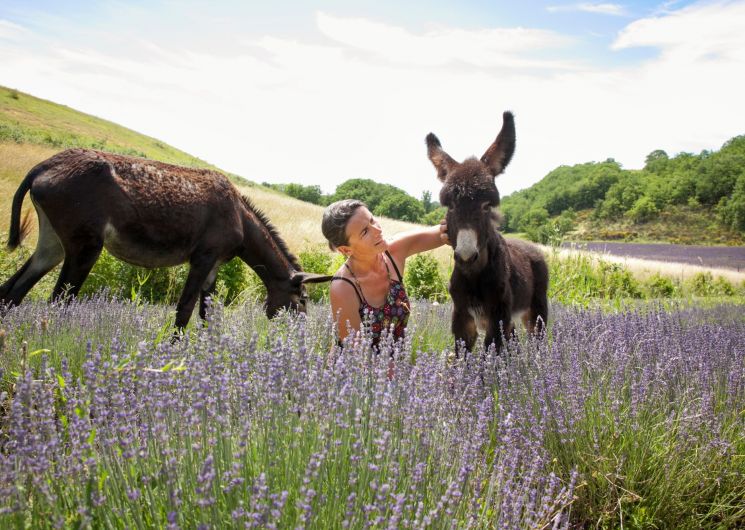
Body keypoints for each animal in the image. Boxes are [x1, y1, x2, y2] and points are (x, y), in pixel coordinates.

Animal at [0, 148, 326, 328]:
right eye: (302, 299)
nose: (299, 335)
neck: (240, 217)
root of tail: (45, 166)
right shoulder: (203, 258)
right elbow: (184, 310)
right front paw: (174, 358)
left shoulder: (213, 266)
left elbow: (206, 314)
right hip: (85, 248)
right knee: (58, 301)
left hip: (52, 243)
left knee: (11, 292)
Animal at [424, 111, 548, 350]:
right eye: (450, 206)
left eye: (486, 206)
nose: (466, 256)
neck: (474, 276)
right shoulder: (462, 318)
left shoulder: (498, 319)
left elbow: (488, 357)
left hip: (536, 311)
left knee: (539, 341)